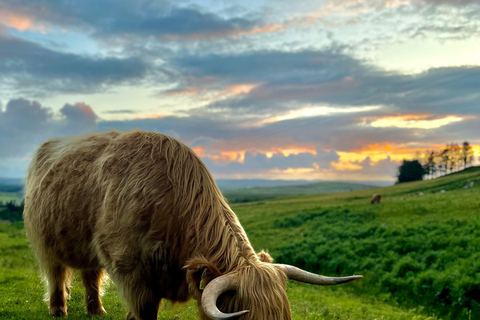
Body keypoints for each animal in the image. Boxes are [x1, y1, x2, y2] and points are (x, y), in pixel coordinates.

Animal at [22, 131, 360, 320]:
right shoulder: (133, 275)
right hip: (46, 241)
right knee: (56, 275)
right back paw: (58, 310)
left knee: (90, 274)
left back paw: (96, 311)